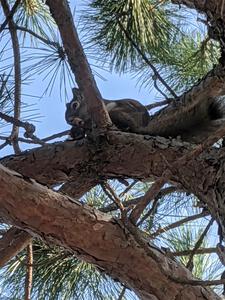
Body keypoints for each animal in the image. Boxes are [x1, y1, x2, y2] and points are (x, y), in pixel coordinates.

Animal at [64, 88, 225, 143]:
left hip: (118, 113)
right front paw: (75, 133)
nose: (70, 120)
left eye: (74, 105)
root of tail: (141, 128)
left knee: (126, 127)